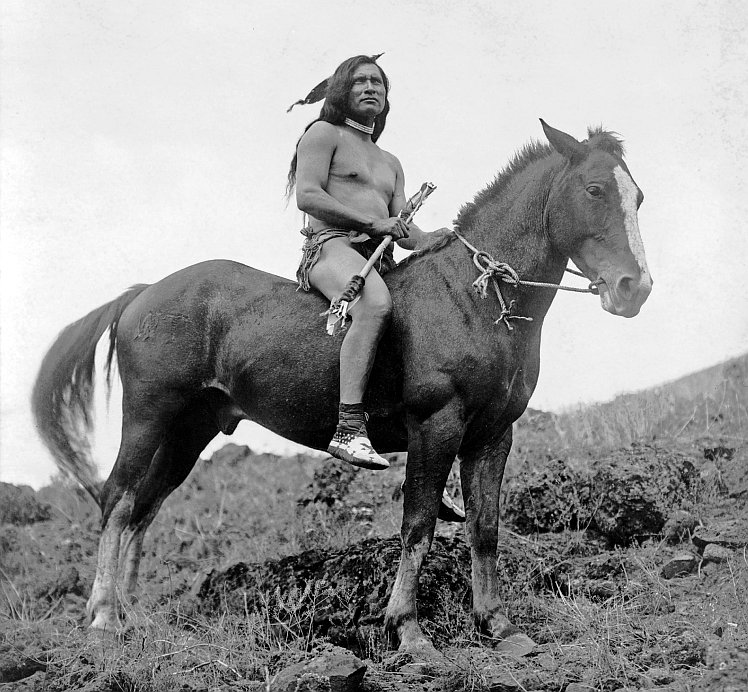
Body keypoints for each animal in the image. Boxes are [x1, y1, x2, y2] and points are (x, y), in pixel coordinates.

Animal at [32, 121, 648, 656]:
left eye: (637, 196)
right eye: (594, 189)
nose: (633, 288)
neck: (472, 299)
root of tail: (144, 292)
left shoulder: (493, 436)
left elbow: (486, 529)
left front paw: (497, 625)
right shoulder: (436, 425)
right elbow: (418, 525)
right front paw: (407, 630)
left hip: (190, 430)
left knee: (145, 508)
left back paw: (132, 614)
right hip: (148, 416)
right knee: (118, 499)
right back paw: (103, 617)